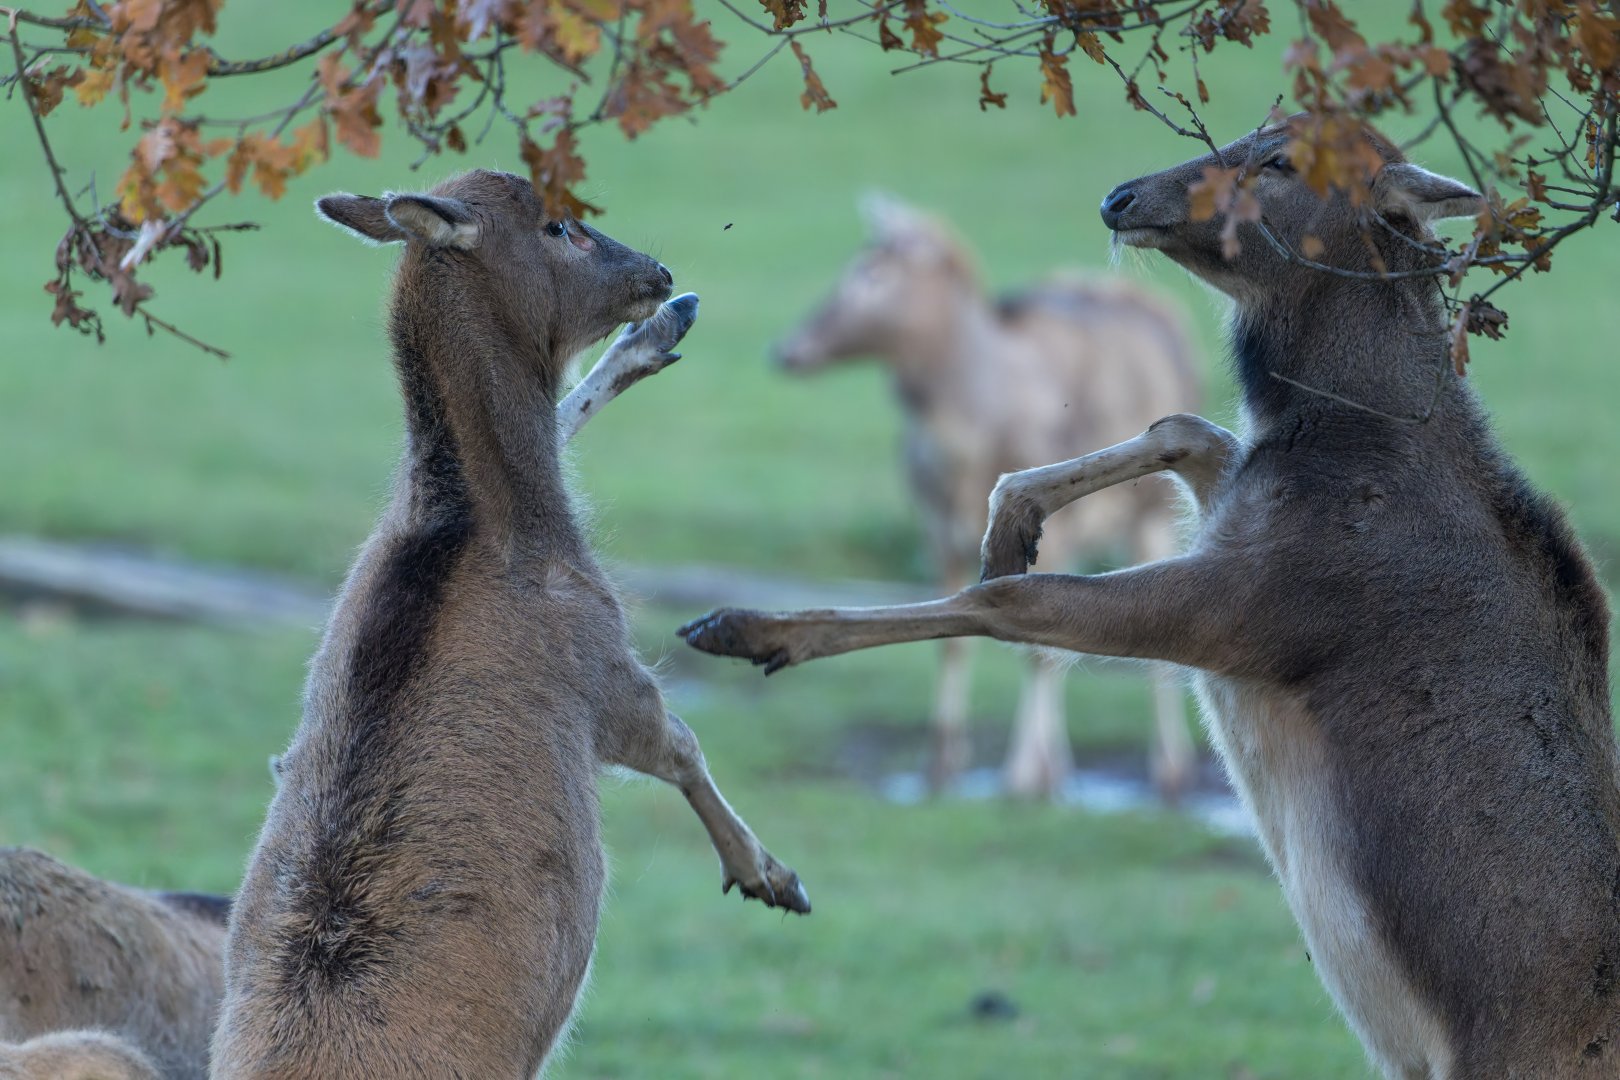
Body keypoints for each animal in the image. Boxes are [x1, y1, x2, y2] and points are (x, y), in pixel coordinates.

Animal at [211, 170, 808, 1080]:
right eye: (559, 226)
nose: (664, 277)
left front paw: (652, 342)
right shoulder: (599, 659)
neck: (480, 528)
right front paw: (770, 877)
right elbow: (680, 742)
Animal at [773, 195, 1202, 798]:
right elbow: (954, 639)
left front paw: (1019, 776)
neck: (962, 452)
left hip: (1155, 511)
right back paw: (1062, 767)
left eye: (872, 272)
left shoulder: (1054, 530)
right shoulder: (935, 527)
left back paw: (1168, 767)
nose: (787, 350)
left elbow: (1039, 649)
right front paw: (941, 765)